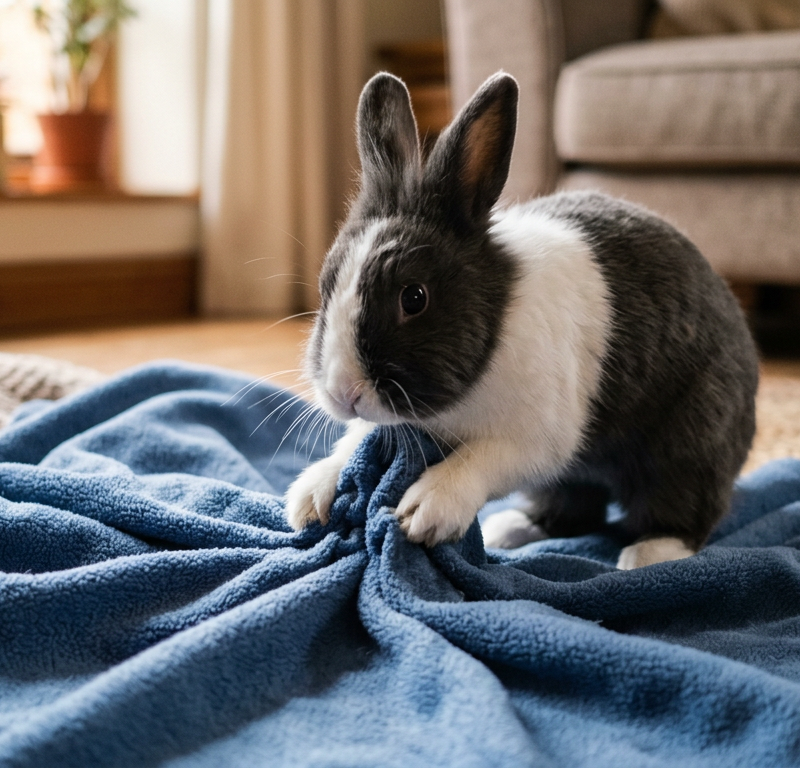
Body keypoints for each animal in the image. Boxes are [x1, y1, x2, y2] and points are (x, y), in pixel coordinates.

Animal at [285, 70, 759, 570]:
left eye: (413, 298)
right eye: (326, 284)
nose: (344, 392)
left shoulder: (535, 441)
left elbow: (480, 460)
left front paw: (425, 511)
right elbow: (354, 443)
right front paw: (309, 497)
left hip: (688, 443)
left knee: (681, 505)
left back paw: (648, 554)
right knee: (574, 509)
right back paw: (511, 530)